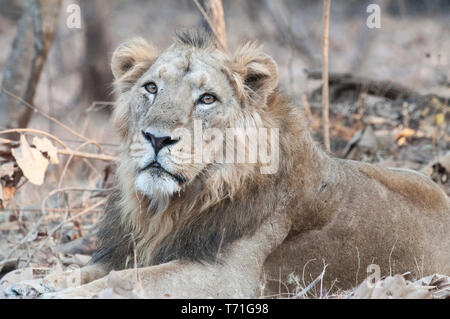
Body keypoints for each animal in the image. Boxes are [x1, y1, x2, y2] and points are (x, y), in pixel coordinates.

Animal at [4, 30, 450, 300]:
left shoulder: (228, 278)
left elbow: (123, 282)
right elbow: (85, 270)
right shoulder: (133, 249)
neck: (171, 208)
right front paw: (28, 283)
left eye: (207, 99)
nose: (157, 138)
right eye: (151, 88)